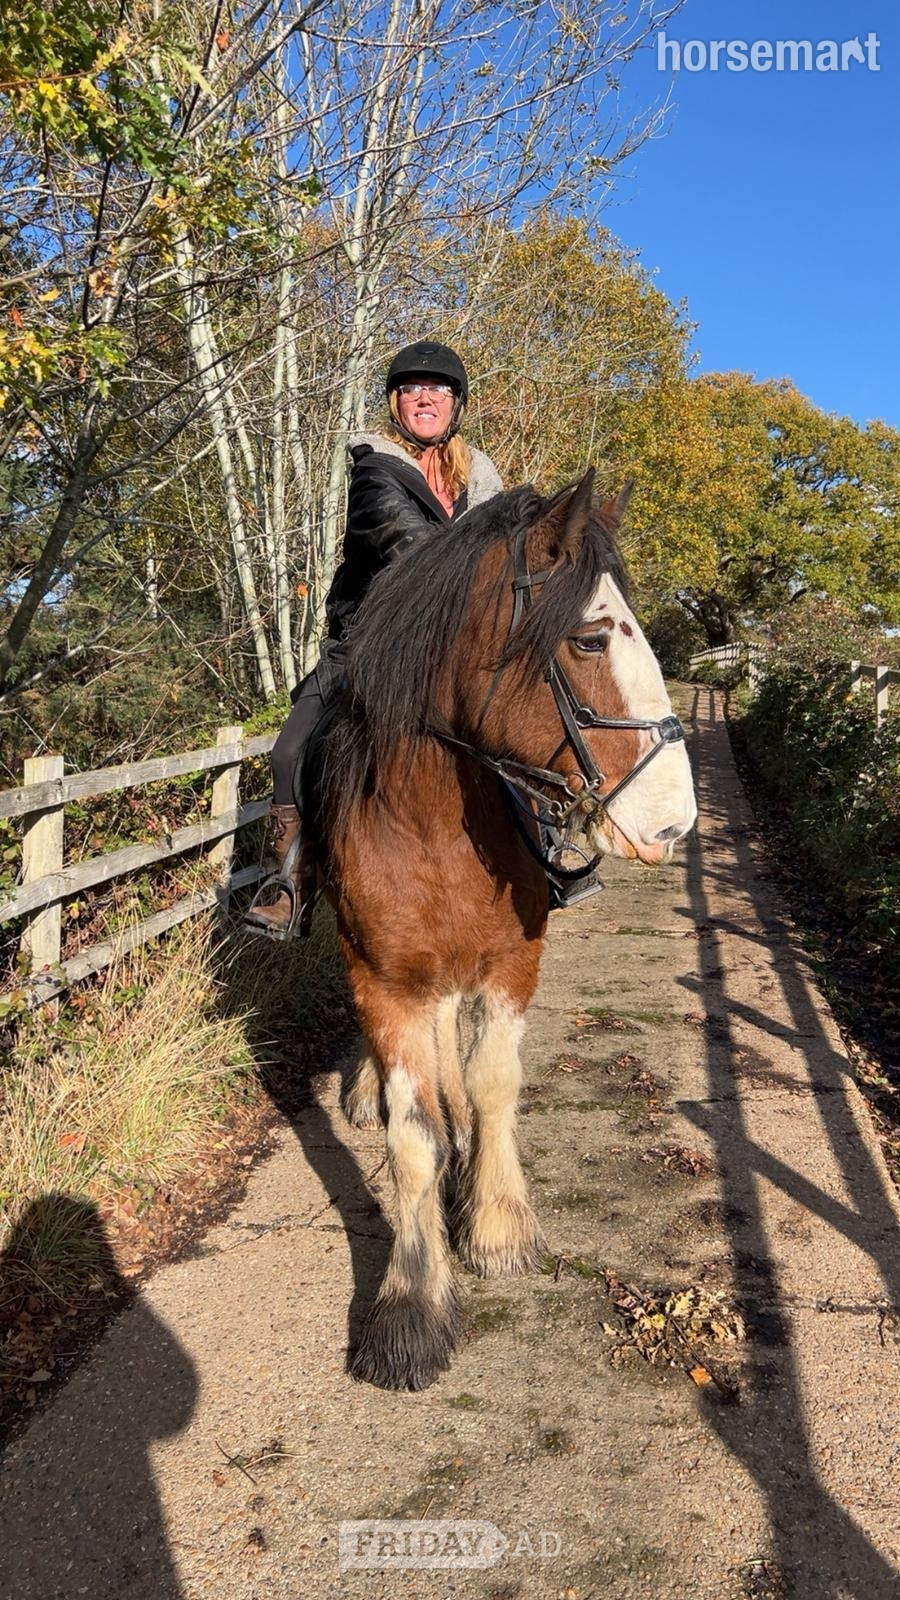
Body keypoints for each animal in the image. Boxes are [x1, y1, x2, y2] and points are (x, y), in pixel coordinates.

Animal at [317, 469, 697, 1390]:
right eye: (591, 640)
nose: (674, 823)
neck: (428, 821)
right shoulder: (383, 978)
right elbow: (411, 1137)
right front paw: (410, 1308)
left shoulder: (511, 965)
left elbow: (493, 1086)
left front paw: (495, 1222)